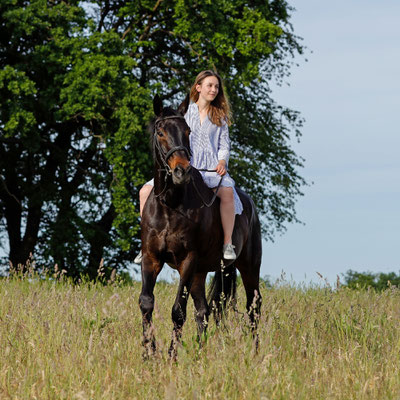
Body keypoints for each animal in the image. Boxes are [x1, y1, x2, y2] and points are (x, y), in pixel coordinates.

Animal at [138, 95, 262, 358]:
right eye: (160, 132)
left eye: (187, 131)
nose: (181, 170)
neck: (171, 204)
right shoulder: (151, 258)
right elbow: (146, 302)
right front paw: (149, 352)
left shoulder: (188, 260)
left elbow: (178, 310)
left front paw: (171, 356)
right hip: (200, 272)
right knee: (204, 311)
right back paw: (200, 352)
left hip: (248, 267)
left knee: (253, 307)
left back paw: (257, 353)